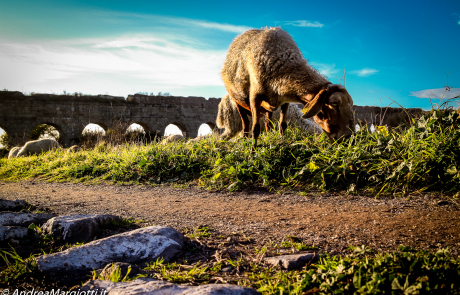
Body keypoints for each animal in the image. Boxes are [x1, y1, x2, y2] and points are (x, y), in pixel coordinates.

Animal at [221, 27, 354, 149]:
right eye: (334, 103)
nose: (349, 139)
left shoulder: (285, 100)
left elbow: (282, 125)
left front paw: (282, 143)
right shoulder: (255, 98)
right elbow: (255, 129)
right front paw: (252, 153)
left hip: (268, 107)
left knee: (268, 124)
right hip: (238, 103)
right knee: (246, 125)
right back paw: (244, 140)